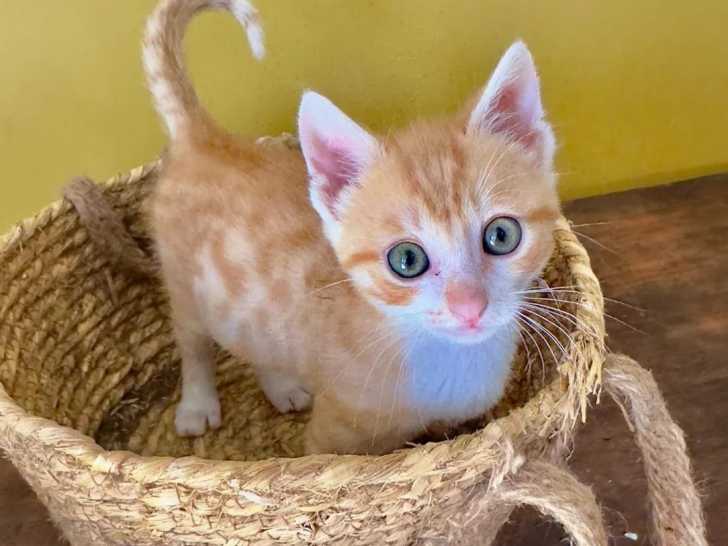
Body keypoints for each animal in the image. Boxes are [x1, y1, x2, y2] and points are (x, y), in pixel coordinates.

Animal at [144, 0, 560, 455]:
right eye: (407, 260)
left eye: (501, 236)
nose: (469, 307)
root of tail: (204, 140)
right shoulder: (331, 436)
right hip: (185, 288)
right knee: (194, 343)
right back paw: (197, 404)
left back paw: (281, 384)